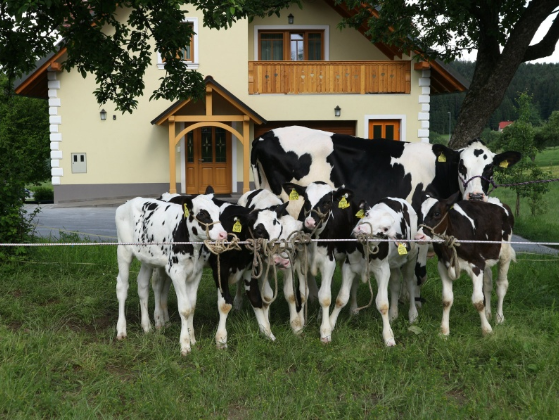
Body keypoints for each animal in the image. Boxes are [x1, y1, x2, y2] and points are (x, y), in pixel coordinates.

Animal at [115, 194, 229, 354]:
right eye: (202, 214)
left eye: (218, 213)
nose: (223, 234)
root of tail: (127, 202)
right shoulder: (176, 272)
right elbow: (185, 309)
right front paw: (185, 345)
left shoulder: (196, 273)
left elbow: (192, 306)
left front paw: (192, 339)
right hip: (123, 251)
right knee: (122, 287)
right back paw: (121, 330)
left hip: (147, 258)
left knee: (142, 286)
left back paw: (147, 326)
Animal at [416, 192, 516, 336]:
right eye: (418, 213)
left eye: (437, 213)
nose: (419, 237)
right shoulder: (443, 266)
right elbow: (447, 299)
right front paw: (444, 331)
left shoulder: (476, 265)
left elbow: (478, 301)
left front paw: (487, 330)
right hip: (486, 259)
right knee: (488, 284)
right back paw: (488, 313)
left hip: (505, 254)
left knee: (501, 285)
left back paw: (499, 318)